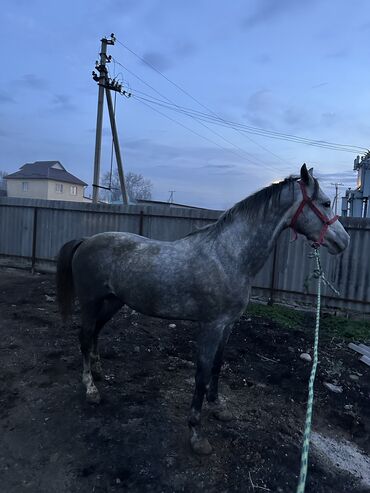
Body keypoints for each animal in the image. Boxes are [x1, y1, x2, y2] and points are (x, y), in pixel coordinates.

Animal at [55, 164, 350, 454]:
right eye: (325, 203)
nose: (343, 241)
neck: (229, 256)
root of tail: (86, 240)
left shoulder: (228, 325)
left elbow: (218, 365)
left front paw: (218, 406)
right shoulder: (211, 326)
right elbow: (202, 373)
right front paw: (196, 433)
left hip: (113, 301)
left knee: (95, 333)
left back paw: (99, 373)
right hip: (90, 302)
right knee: (85, 337)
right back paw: (91, 389)